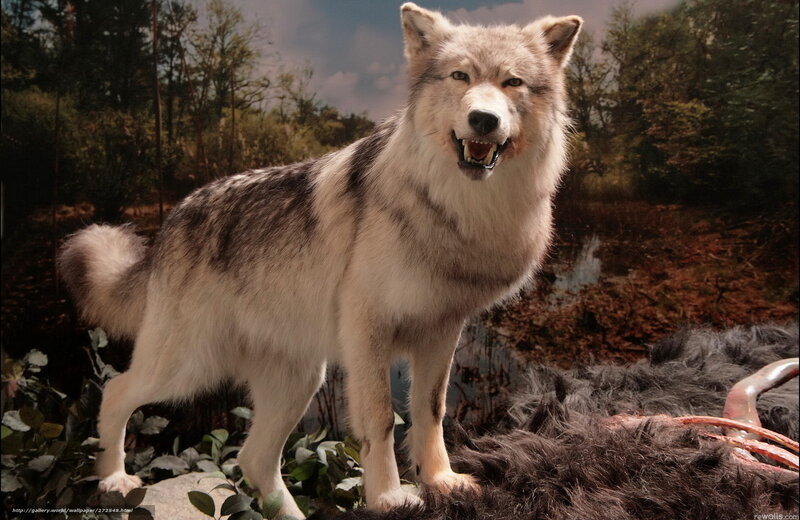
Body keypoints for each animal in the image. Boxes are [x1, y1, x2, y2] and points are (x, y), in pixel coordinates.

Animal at [58, 3, 581, 516]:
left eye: (512, 83)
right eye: (460, 76)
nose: (483, 120)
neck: (458, 212)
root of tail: (170, 222)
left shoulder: (442, 330)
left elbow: (431, 411)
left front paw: (441, 481)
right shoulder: (368, 331)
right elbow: (381, 419)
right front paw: (390, 497)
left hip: (297, 381)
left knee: (254, 460)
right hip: (188, 368)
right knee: (115, 392)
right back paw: (113, 478)